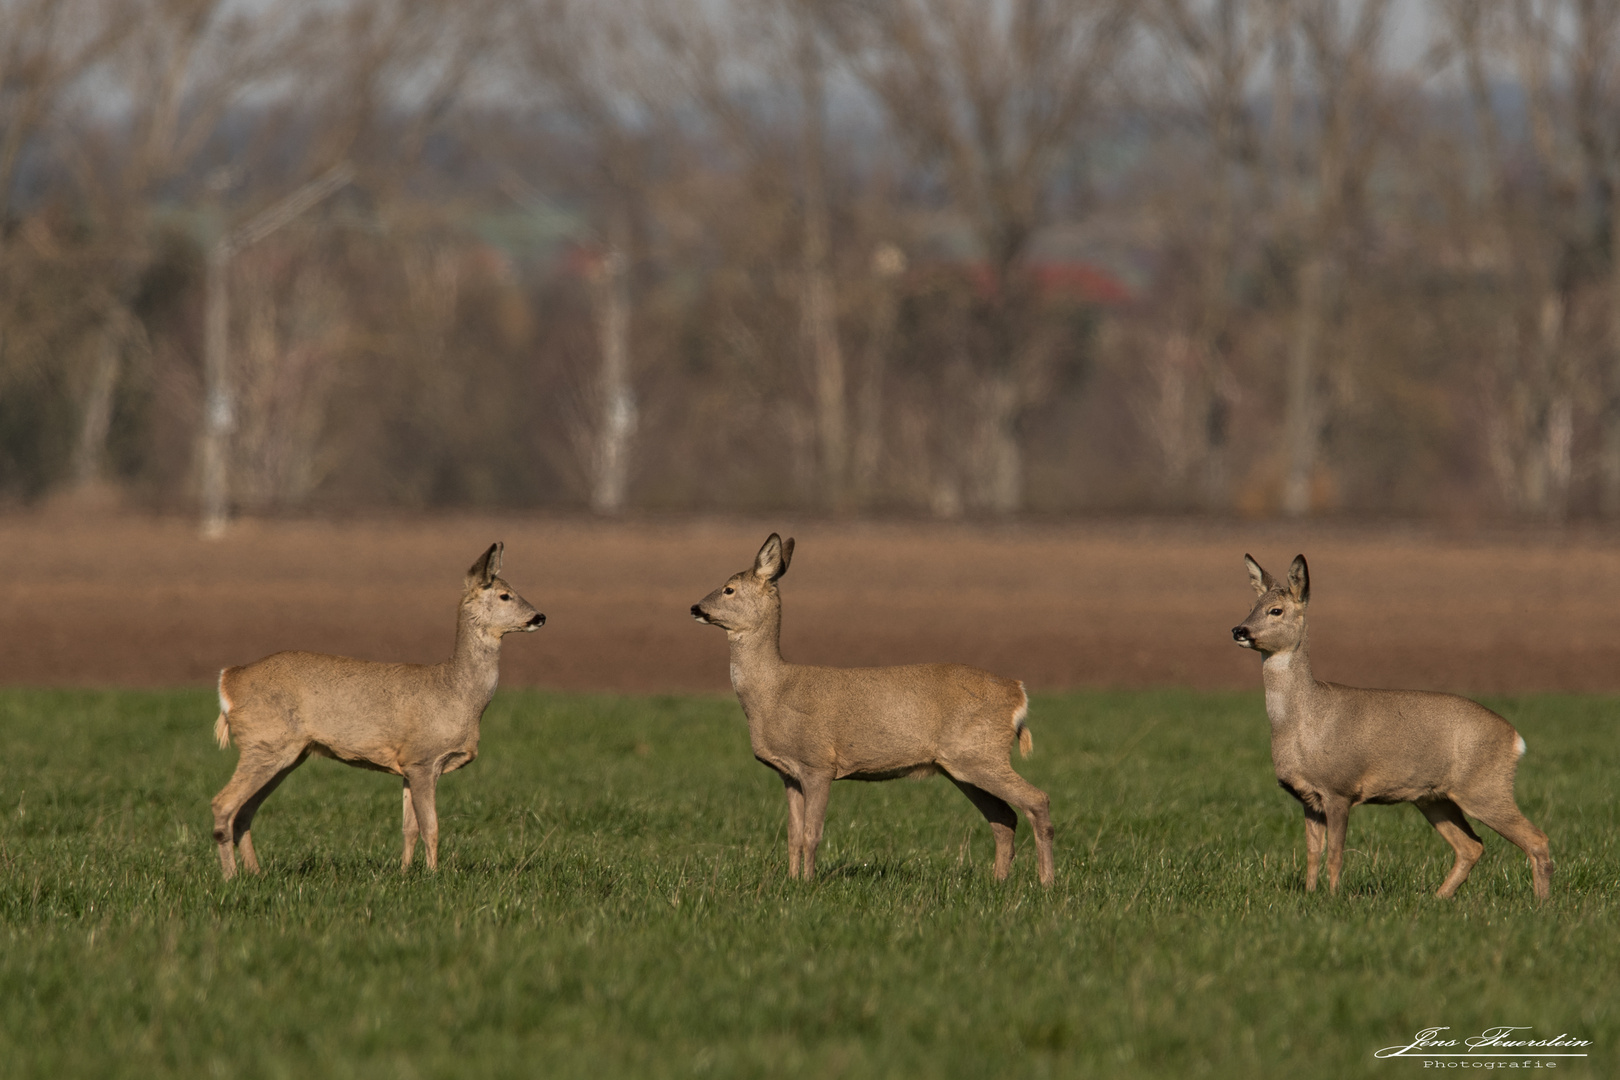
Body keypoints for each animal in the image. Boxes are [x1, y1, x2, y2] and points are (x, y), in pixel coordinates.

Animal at [208, 544, 544, 880]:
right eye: (504, 595)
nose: (540, 616)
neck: (456, 692)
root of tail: (229, 679)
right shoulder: (423, 759)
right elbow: (431, 827)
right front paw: (435, 876)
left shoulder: (407, 764)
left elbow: (409, 828)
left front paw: (405, 873)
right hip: (265, 743)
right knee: (223, 804)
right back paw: (231, 877)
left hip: (287, 753)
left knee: (244, 811)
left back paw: (256, 873)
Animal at [690, 534, 1056, 887]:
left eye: (729, 588)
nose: (695, 607)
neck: (773, 692)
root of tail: (1017, 691)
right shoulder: (789, 773)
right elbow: (792, 837)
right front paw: (792, 881)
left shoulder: (818, 763)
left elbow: (811, 834)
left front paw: (807, 884)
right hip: (960, 766)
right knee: (1004, 817)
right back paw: (999, 881)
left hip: (980, 753)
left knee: (1037, 800)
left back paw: (1046, 883)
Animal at [1231, 553, 1548, 900]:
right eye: (1252, 604)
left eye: (1276, 610)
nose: (1239, 630)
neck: (1305, 721)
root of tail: (1515, 739)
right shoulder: (1308, 797)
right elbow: (1312, 853)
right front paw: (1310, 895)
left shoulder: (1339, 787)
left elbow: (1335, 853)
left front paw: (1332, 898)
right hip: (1434, 798)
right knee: (1471, 846)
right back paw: (1437, 899)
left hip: (1485, 788)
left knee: (1537, 839)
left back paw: (1541, 904)